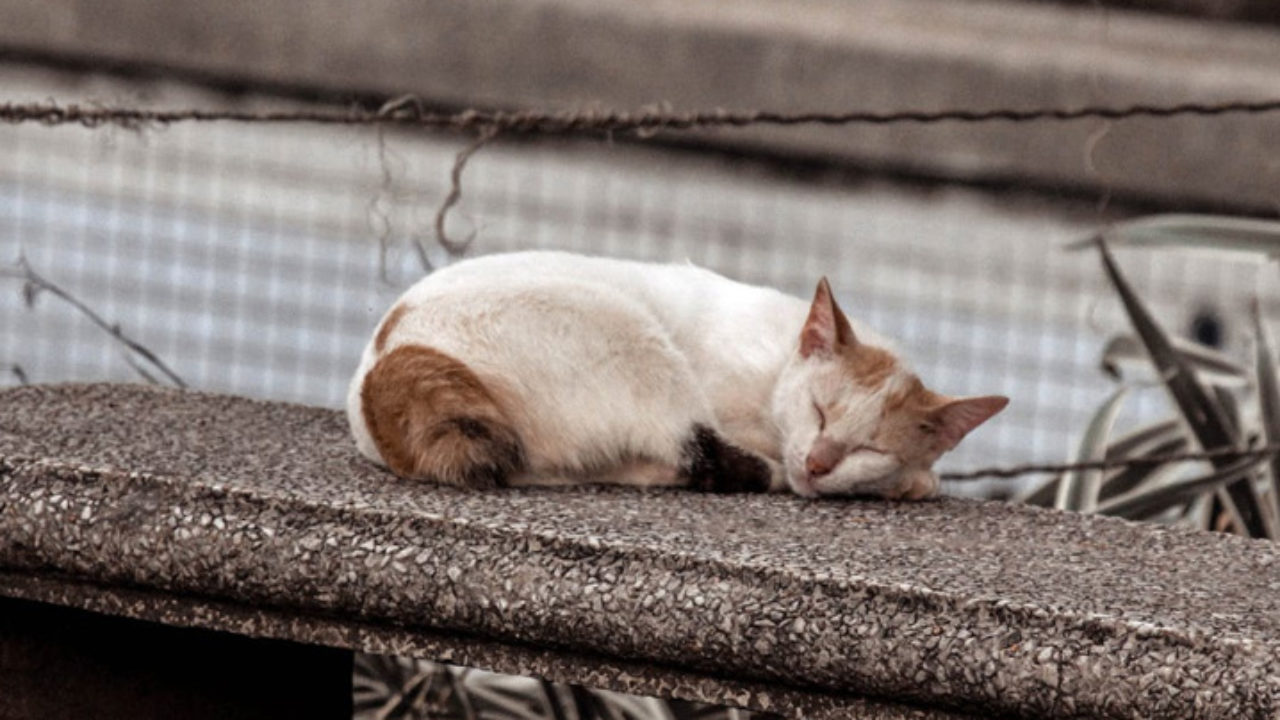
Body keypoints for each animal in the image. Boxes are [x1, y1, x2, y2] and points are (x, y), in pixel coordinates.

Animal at [345, 249, 1003, 497]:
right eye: (819, 410)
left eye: (870, 446)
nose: (819, 463)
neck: (775, 363)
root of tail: (389, 356)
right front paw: (913, 482)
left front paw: (904, 478)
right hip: (635, 341)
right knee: (697, 450)